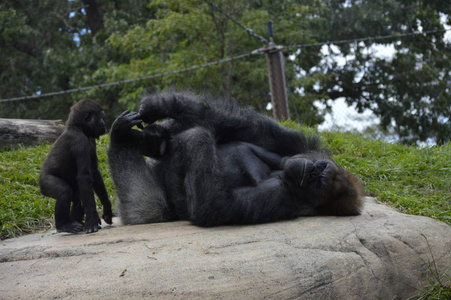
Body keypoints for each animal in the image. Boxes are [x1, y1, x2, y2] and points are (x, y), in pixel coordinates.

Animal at [39, 99, 113, 233]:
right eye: (100, 117)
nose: (104, 123)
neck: (78, 127)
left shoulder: (91, 139)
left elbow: (94, 173)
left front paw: (107, 208)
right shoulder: (79, 142)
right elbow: (84, 176)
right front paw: (92, 219)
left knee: (77, 195)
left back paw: (76, 222)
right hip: (44, 182)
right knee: (64, 192)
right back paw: (63, 225)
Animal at [107, 90, 366, 226]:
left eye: (318, 183)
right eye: (319, 168)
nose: (311, 171)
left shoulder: (282, 198)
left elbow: (213, 206)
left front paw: (196, 139)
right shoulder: (300, 145)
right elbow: (236, 126)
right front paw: (160, 105)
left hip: (143, 209)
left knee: (146, 205)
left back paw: (119, 140)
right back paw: (150, 138)